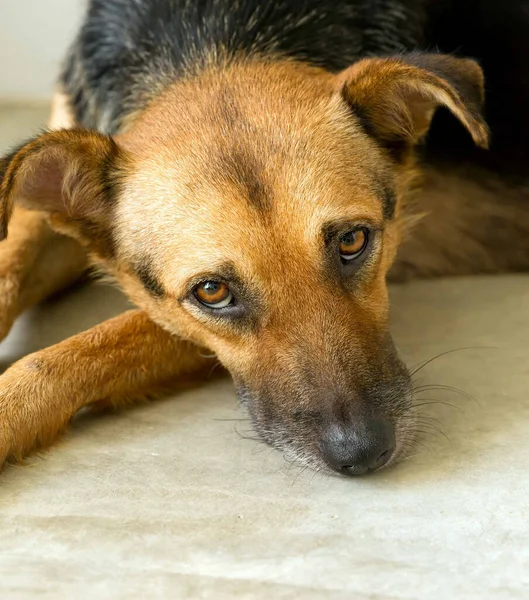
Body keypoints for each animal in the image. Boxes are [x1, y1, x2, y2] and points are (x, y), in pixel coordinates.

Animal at [1, 0, 528, 478]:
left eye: (352, 241)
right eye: (212, 291)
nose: (362, 453)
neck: (211, 44)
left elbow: (74, 351)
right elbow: (10, 269)